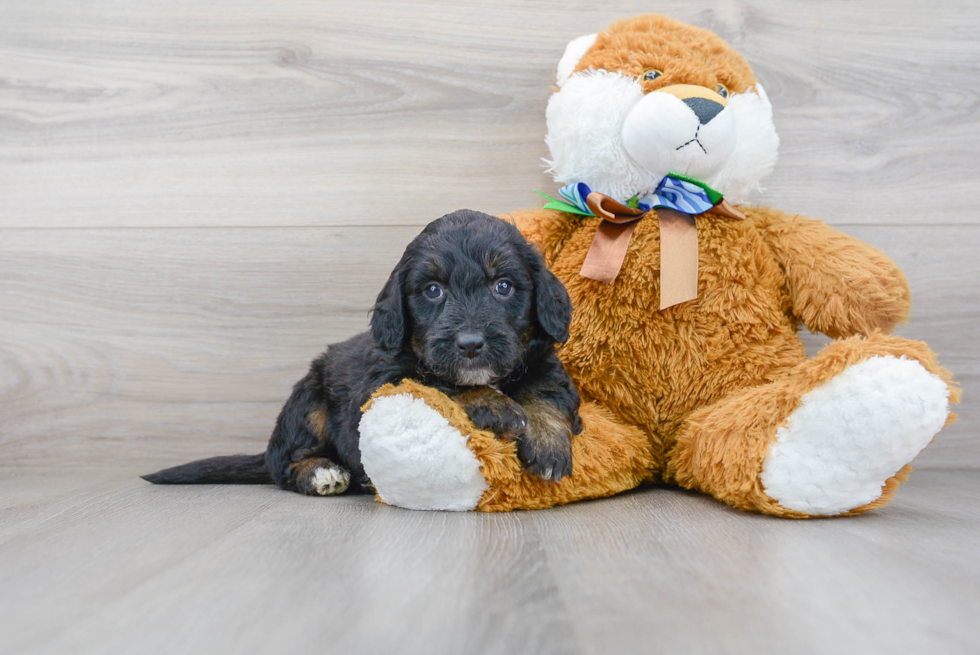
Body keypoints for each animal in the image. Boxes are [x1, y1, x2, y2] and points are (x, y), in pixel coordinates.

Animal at [144, 211, 580, 498]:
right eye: (433, 290)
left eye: (503, 286)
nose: (471, 344)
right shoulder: (380, 383)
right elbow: (435, 381)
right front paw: (495, 404)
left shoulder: (543, 362)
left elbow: (544, 394)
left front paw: (547, 443)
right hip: (309, 402)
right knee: (283, 462)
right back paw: (322, 473)